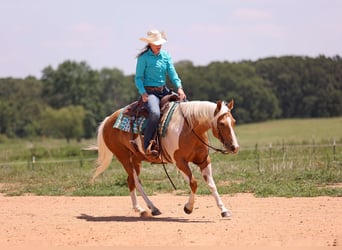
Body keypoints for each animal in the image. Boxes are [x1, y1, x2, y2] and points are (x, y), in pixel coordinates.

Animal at [92, 98, 239, 218]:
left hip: (136, 159)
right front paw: (188, 208)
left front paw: (224, 210)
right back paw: (144, 209)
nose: (234, 147)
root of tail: (108, 120)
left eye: (233, 122)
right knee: (135, 181)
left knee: (131, 181)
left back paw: (147, 209)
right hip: (123, 157)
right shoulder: (180, 162)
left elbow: (212, 185)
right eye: (221, 123)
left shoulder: (204, 161)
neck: (189, 128)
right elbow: (193, 183)